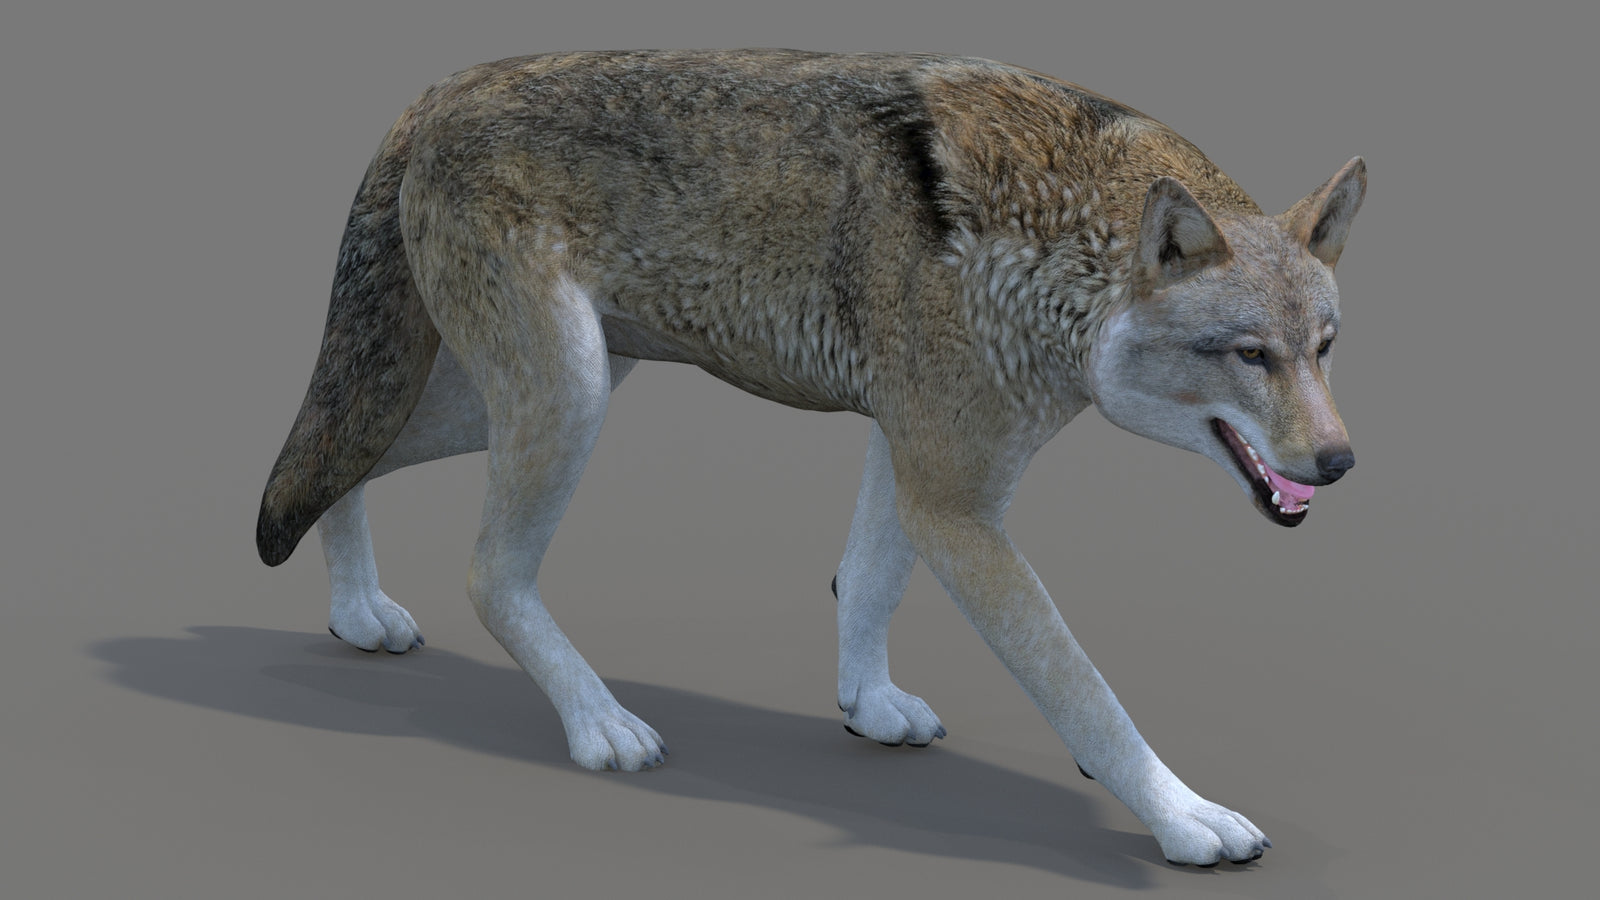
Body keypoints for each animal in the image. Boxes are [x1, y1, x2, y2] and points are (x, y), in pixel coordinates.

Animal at [256, 50, 1364, 866]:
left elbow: (864, 583)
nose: (1342, 461)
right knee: (485, 572)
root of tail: (442, 87)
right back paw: (600, 725)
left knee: (341, 462)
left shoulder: (914, 465)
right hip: (565, 399)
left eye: (1323, 348)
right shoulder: (956, 501)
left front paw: (867, 707)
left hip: (514, 397)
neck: (1053, 256)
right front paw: (1183, 816)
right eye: (1249, 356)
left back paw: (357, 613)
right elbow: (1084, 692)